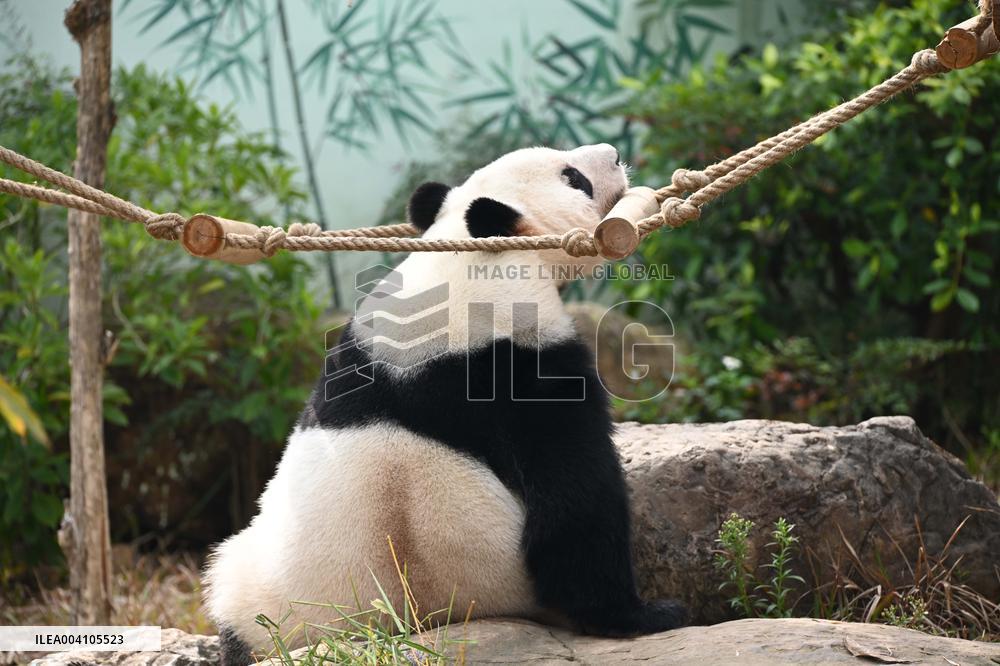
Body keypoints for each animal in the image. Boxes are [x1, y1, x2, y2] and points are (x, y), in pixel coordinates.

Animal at [205, 144, 687, 665]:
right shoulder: (529, 370)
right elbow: (577, 497)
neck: (466, 264)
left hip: (258, 592)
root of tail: (390, 625)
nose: (614, 154)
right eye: (573, 177)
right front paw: (642, 615)